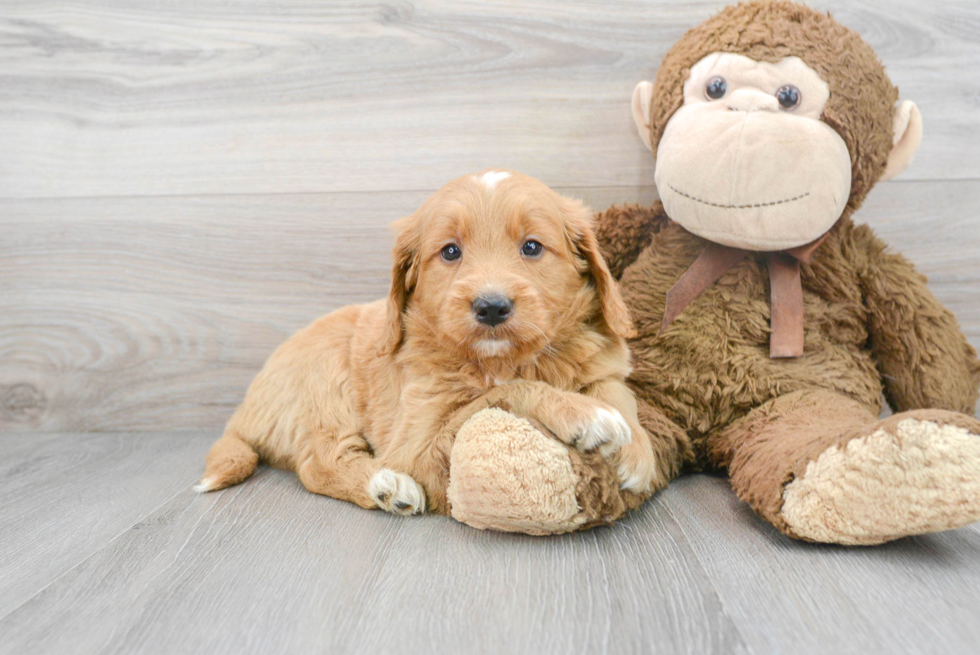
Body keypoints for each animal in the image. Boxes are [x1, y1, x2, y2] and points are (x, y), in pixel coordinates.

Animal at [194, 172, 660, 516]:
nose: (492, 307)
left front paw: (635, 448)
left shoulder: (604, 363)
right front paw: (585, 415)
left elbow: (618, 393)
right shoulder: (415, 443)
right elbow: (505, 393)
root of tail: (244, 410)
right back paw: (385, 486)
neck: (505, 360)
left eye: (532, 247)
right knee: (318, 463)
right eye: (450, 252)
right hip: (325, 382)